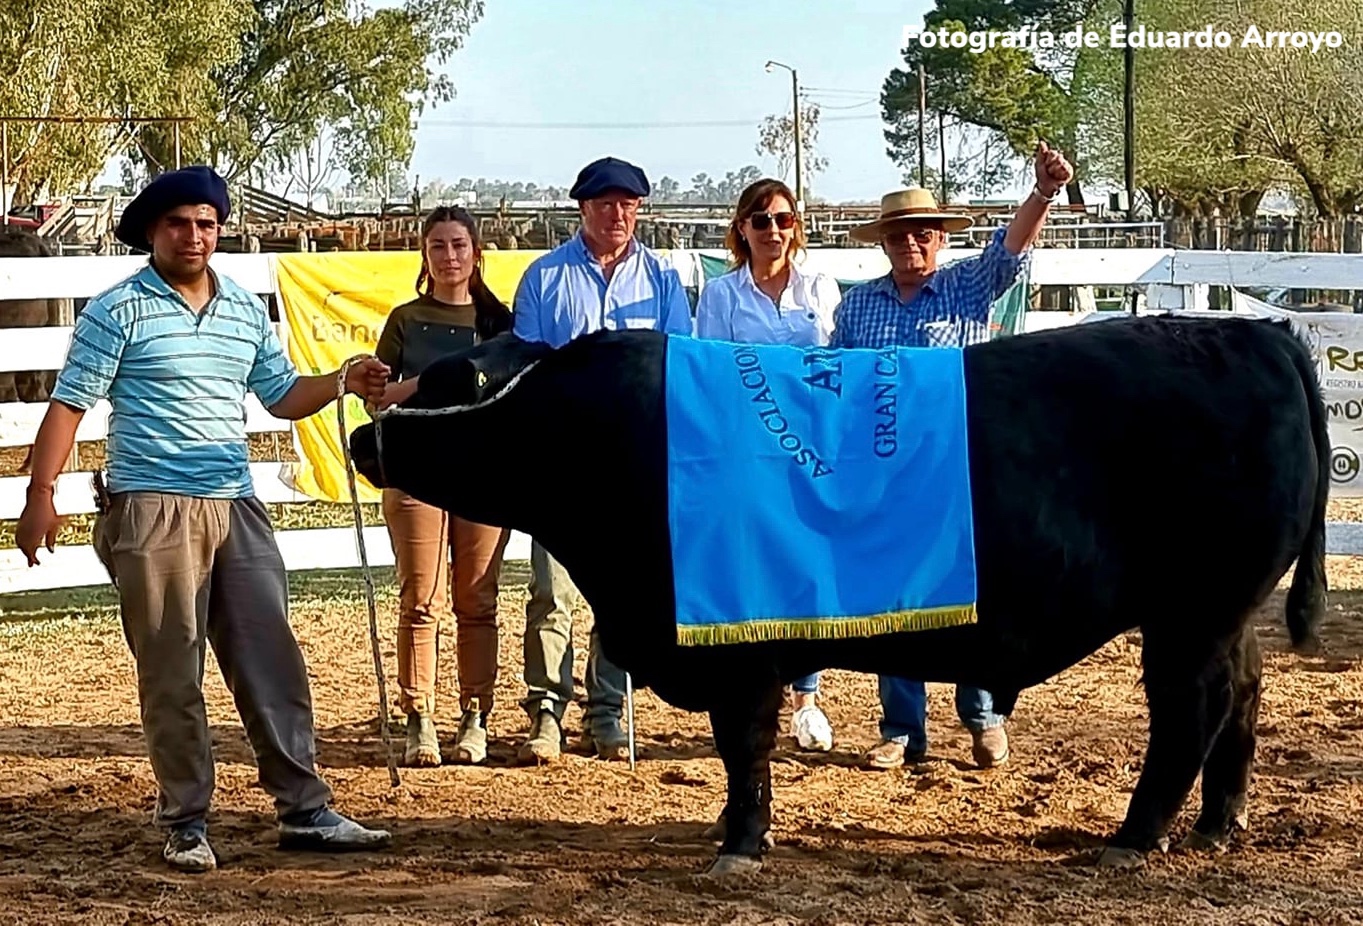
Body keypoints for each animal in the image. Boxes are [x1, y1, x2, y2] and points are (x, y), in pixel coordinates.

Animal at [346, 315, 1324, 872]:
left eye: (442, 380)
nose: (360, 433)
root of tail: (1260, 335)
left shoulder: (732, 646)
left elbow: (743, 745)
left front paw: (740, 843)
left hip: (1190, 614)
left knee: (1188, 715)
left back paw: (1132, 839)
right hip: (1222, 613)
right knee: (1242, 699)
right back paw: (1216, 826)